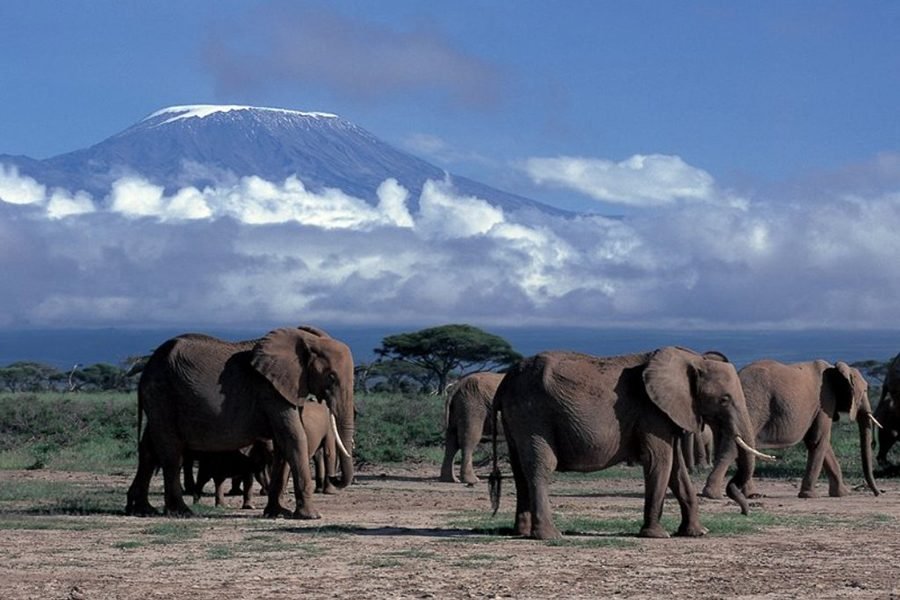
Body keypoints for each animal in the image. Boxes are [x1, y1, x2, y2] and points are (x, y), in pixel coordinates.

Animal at [124, 326, 356, 516]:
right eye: (331, 376)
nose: (335, 478)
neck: (306, 341)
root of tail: (146, 368)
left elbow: (283, 444)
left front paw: (277, 513)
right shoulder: (269, 390)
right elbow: (293, 438)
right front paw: (311, 516)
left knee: (149, 449)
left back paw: (142, 509)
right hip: (162, 393)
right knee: (171, 451)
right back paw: (181, 511)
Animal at [488, 346, 768, 540]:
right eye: (724, 399)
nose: (745, 511)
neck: (692, 358)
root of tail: (505, 382)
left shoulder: (668, 413)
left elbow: (677, 471)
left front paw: (698, 533)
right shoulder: (651, 412)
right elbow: (660, 462)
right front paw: (657, 535)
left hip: (517, 419)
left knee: (520, 469)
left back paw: (522, 532)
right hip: (534, 414)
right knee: (541, 466)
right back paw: (550, 535)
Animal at [704, 358, 880, 500]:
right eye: (865, 390)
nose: (878, 493)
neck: (836, 368)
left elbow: (821, 444)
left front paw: (842, 494)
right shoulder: (825, 401)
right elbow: (818, 441)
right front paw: (810, 496)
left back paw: (751, 495)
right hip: (753, 405)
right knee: (735, 446)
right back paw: (713, 495)